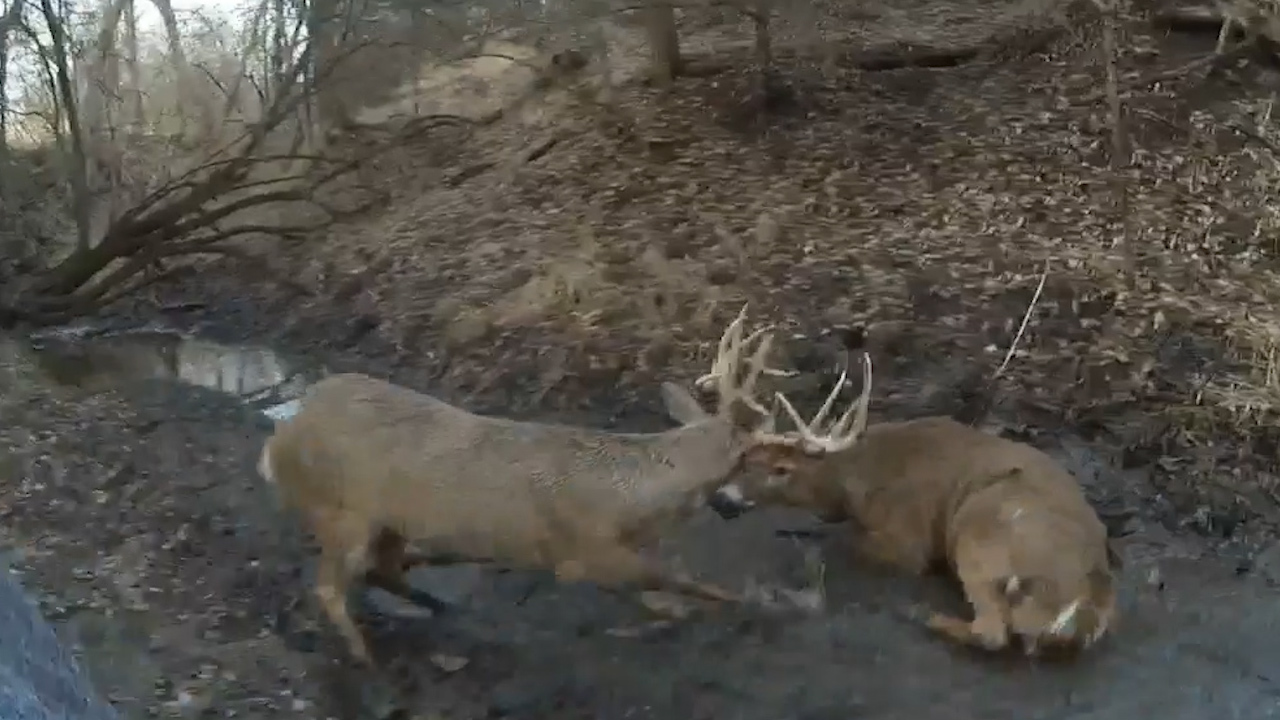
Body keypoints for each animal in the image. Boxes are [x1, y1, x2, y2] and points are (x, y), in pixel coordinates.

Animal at [256, 306, 859, 664]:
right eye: (760, 461)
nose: (731, 507)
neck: (636, 499)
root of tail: (280, 439)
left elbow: (666, 585)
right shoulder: (584, 552)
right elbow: (684, 580)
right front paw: (773, 606)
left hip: (386, 520)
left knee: (382, 568)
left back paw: (438, 606)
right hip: (341, 511)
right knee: (331, 586)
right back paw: (367, 658)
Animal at [664, 352, 1119, 657]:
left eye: (781, 469)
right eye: (745, 458)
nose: (722, 500)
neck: (859, 482)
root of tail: (1078, 610)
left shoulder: (908, 538)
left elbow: (849, 543)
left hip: (981, 530)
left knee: (993, 632)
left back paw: (919, 613)